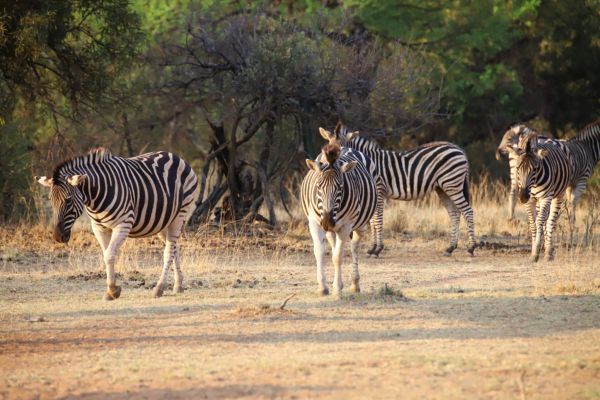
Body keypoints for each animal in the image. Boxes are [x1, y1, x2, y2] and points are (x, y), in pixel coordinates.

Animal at [36, 147, 198, 300]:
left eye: (68, 200)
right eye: (50, 200)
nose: (58, 237)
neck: (96, 197)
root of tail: (175, 156)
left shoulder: (123, 225)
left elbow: (109, 255)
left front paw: (113, 290)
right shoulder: (99, 228)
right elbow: (106, 255)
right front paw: (111, 291)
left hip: (179, 214)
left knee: (169, 251)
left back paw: (159, 288)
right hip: (163, 222)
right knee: (174, 248)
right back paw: (178, 285)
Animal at [300, 142, 376, 296]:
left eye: (340, 188)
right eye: (318, 187)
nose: (327, 222)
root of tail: (345, 147)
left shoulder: (346, 225)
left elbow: (338, 257)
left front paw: (336, 287)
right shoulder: (314, 223)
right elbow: (319, 252)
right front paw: (322, 286)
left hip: (360, 225)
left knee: (354, 247)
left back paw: (355, 284)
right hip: (331, 229)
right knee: (334, 244)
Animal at [330, 122, 476, 256]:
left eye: (341, 150)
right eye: (328, 150)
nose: (334, 168)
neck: (367, 162)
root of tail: (458, 148)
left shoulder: (379, 191)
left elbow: (377, 220)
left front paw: (378, 249)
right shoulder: (372, 194)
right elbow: (372, 221)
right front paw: (372, 248)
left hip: (452, 184)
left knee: (467, 211)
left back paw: (471, 248)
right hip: (443, 188)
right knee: (455, 214)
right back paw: (450, 248)